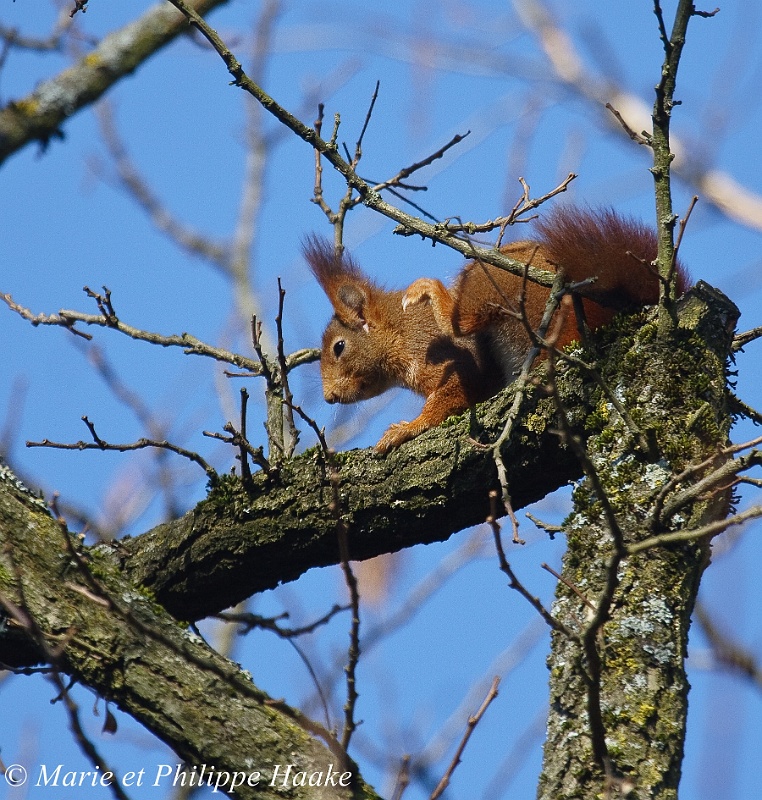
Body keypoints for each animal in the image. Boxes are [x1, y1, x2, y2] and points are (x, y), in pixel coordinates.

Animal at [305, 206, 689, 453]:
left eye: (339, 347)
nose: (329, 397)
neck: (399, 332)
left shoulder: (448, 356)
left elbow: (453, 394)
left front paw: (406, 429)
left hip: (492, 283)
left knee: (462, 318)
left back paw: (434, 294)